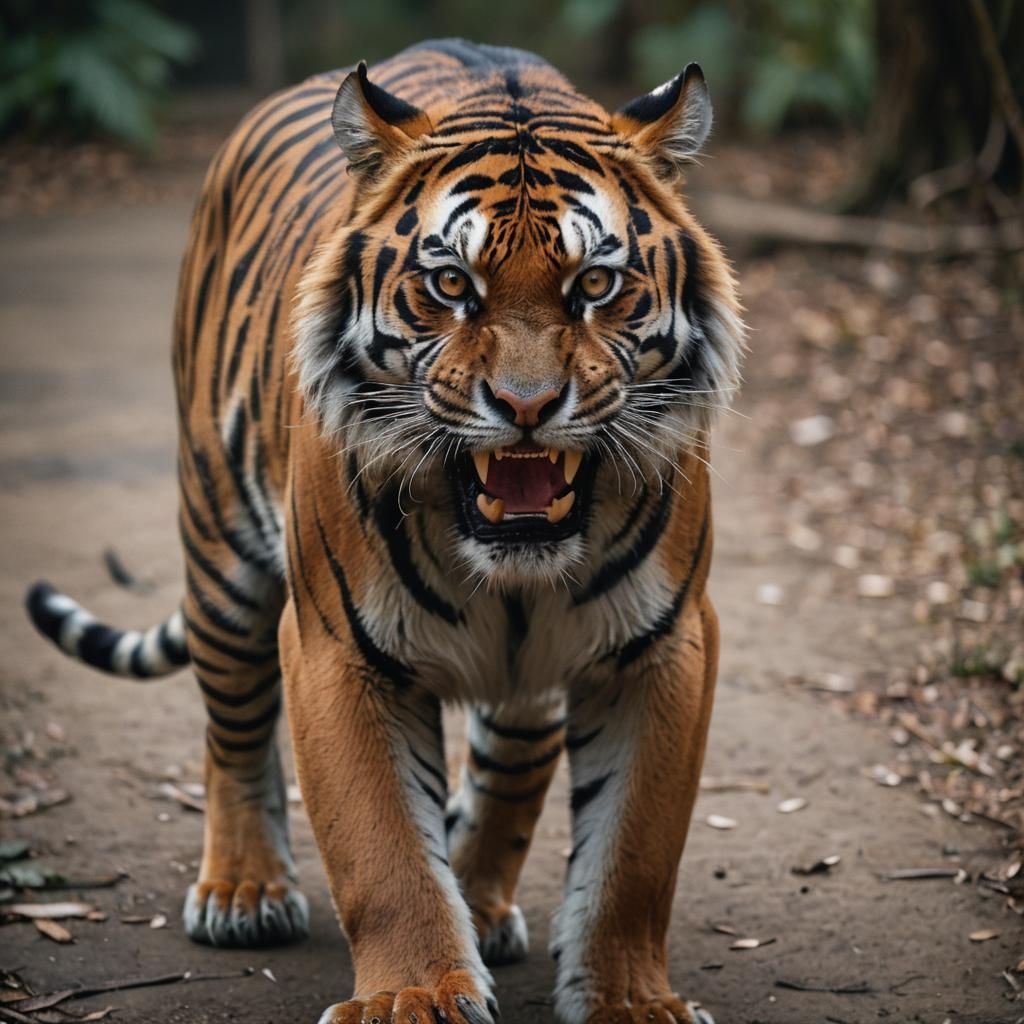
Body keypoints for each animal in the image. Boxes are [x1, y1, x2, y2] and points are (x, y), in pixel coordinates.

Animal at [26, 38, 744, 1024]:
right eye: (452, 285)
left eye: (595, 284)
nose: (527, 406)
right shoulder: (335, 648)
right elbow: (383, 850)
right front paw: (416, 996)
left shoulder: (665, 646)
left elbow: (635, 855)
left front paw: (631, 1002)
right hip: (220, 553)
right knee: (231, 729)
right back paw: (243, 891)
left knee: (513, 762)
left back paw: (480, 904)